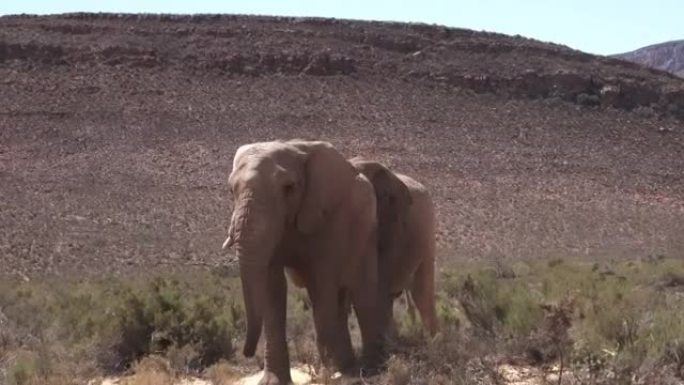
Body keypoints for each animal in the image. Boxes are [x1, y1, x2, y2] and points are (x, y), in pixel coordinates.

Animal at [224, 140, 384, 382]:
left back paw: (370, 368)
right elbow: (272, 286)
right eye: (232, 190)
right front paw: (273, 381)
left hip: (366, 231)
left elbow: (322, 282)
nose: (246, 353)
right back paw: (349, 365)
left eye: (288, 188)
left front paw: (330, 375)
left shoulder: (329, 216)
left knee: (362, 292)